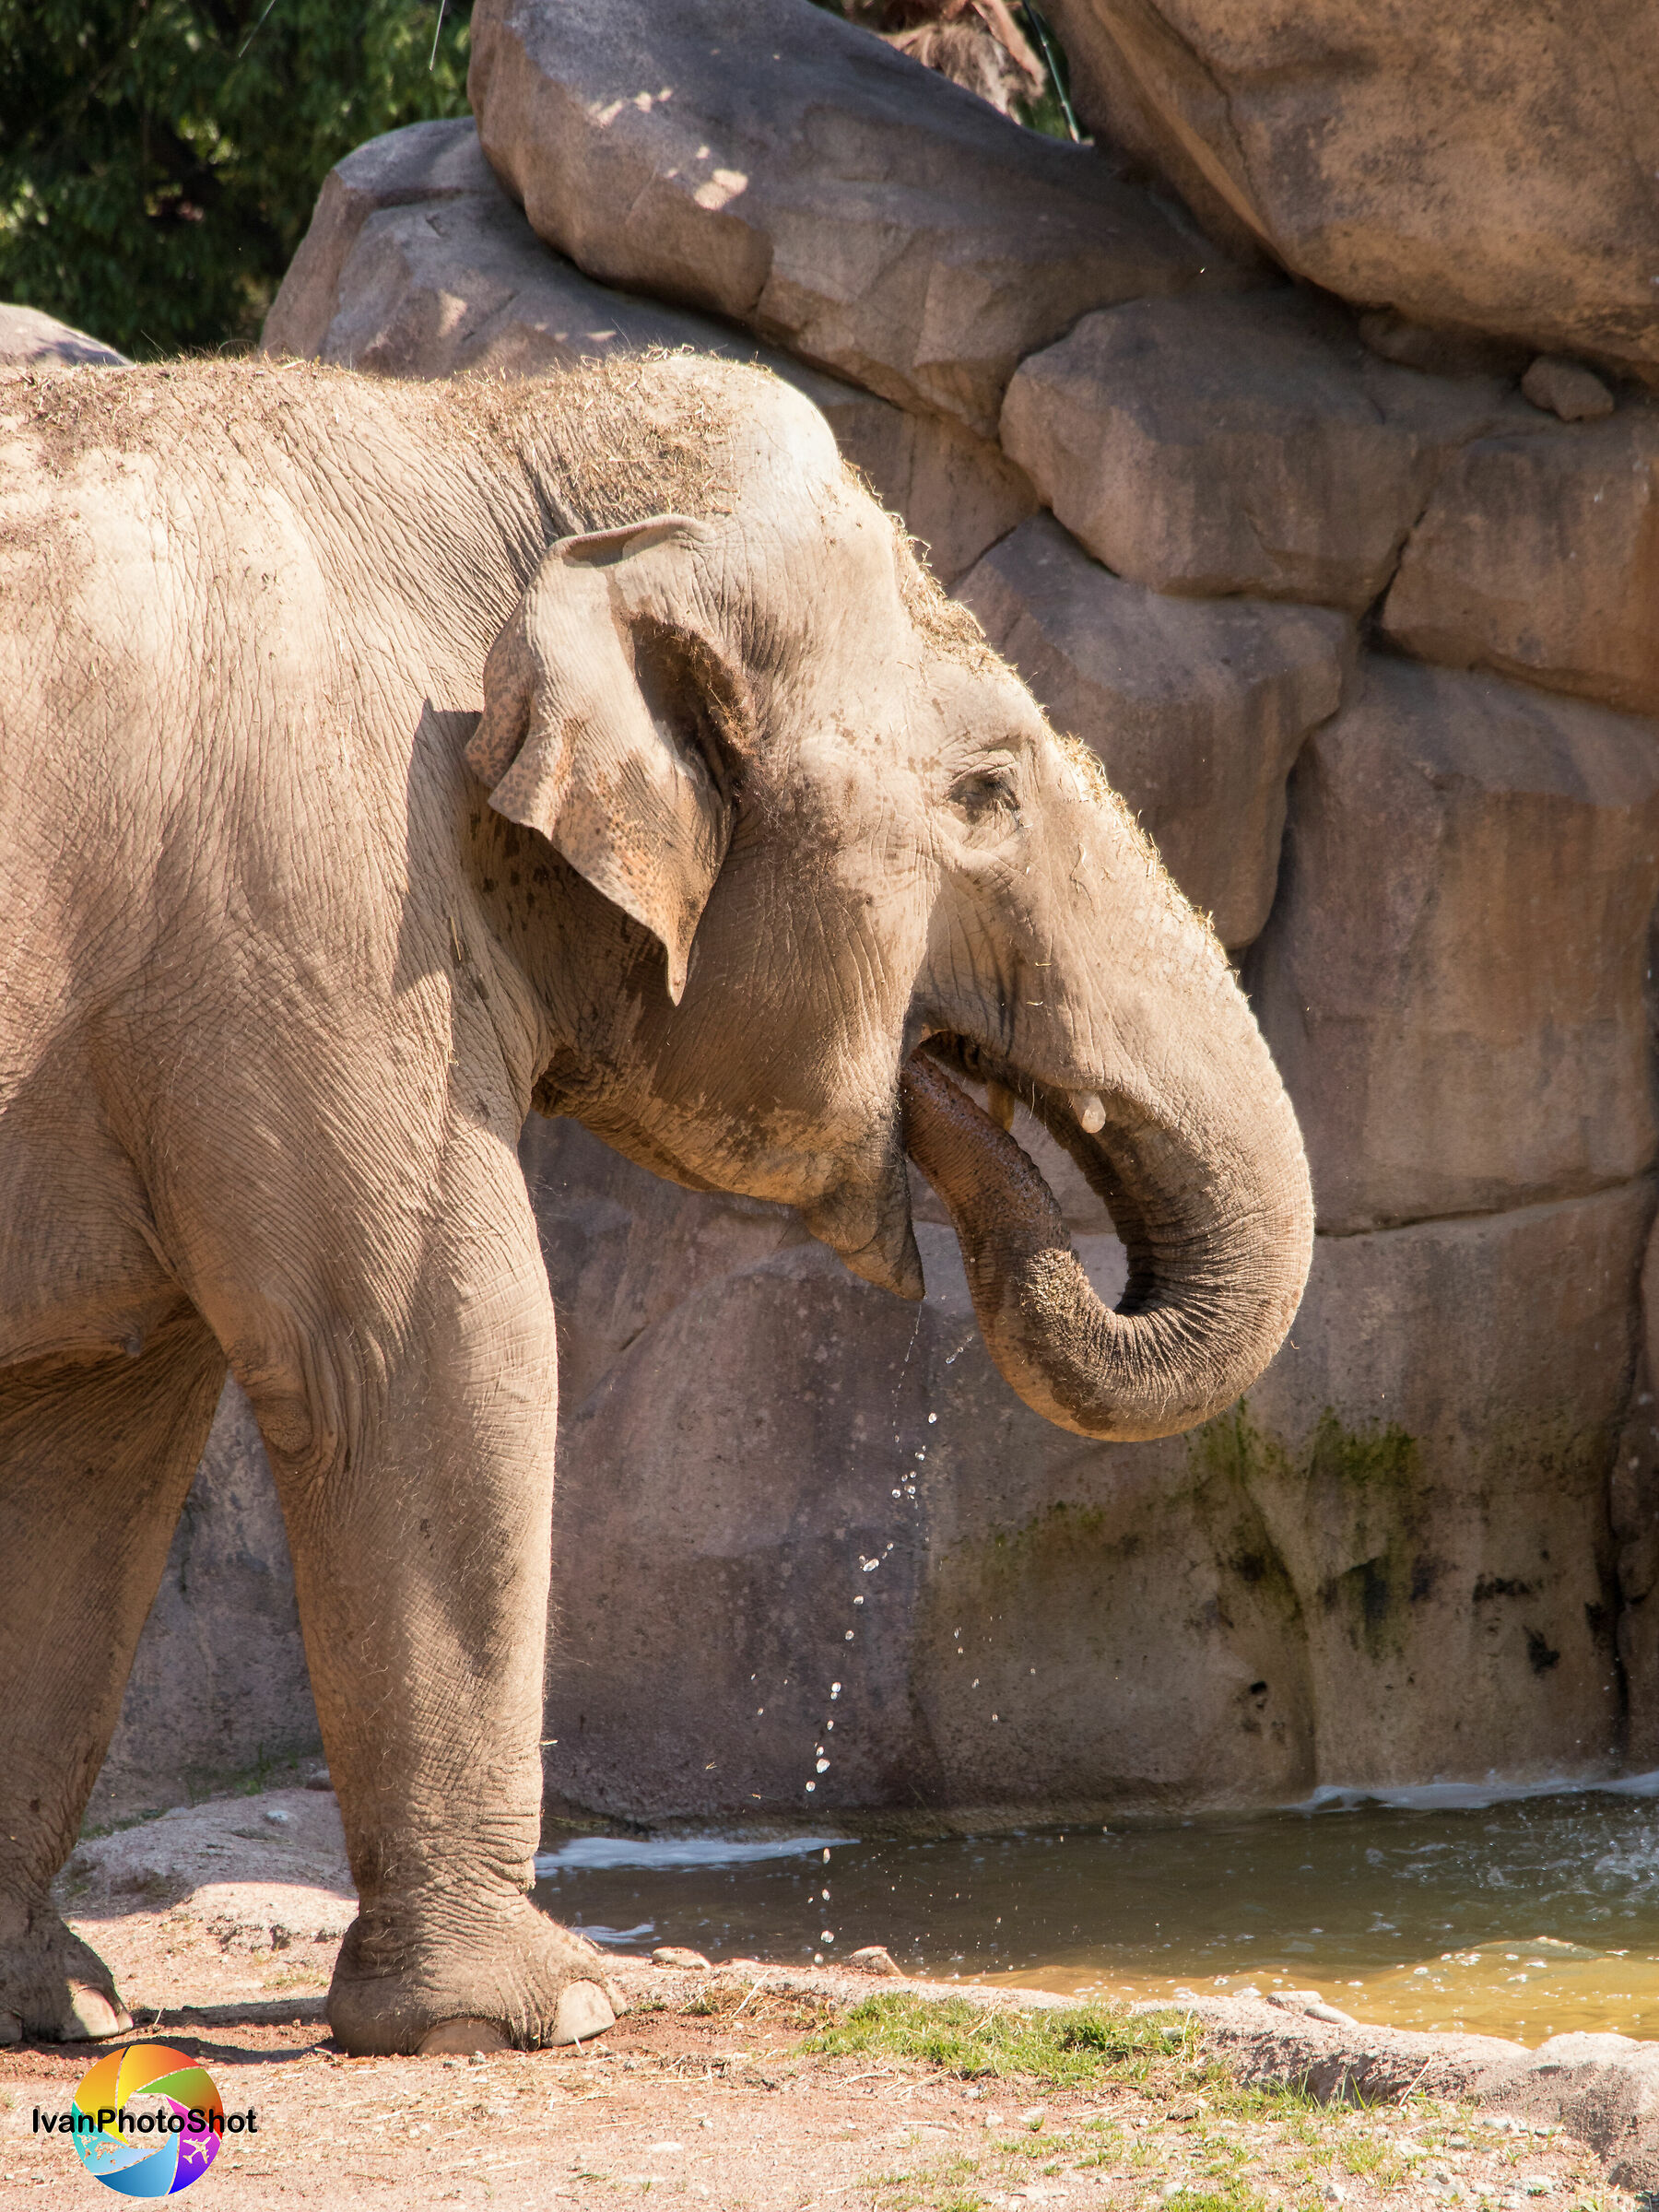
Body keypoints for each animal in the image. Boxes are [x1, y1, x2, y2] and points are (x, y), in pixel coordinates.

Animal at [0, 349, 1313, 2056]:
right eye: (987, 791)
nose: (940, 1092)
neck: (482, 432)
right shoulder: (312, 911)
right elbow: (426, 1353)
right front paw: (544, 2013)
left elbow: (89, 1452)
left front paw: (61, 2010)